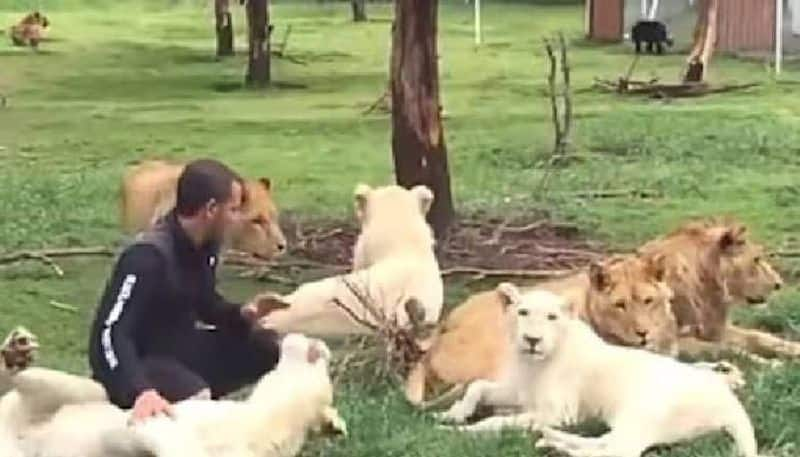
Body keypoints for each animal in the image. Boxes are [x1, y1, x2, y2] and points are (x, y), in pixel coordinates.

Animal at [434, 284, 760, 456]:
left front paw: (460, 430)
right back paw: (549, 440)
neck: (534, 364)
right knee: (606, 443)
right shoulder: (518, 390)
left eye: (551, 317)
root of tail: (729, 401)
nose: (532, 340)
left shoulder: (559, 412)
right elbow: (476, 386)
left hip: (642, 412)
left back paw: (553, 442)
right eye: (522, 312)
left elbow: (496, 422)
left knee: (618, 450)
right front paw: (451, 414)